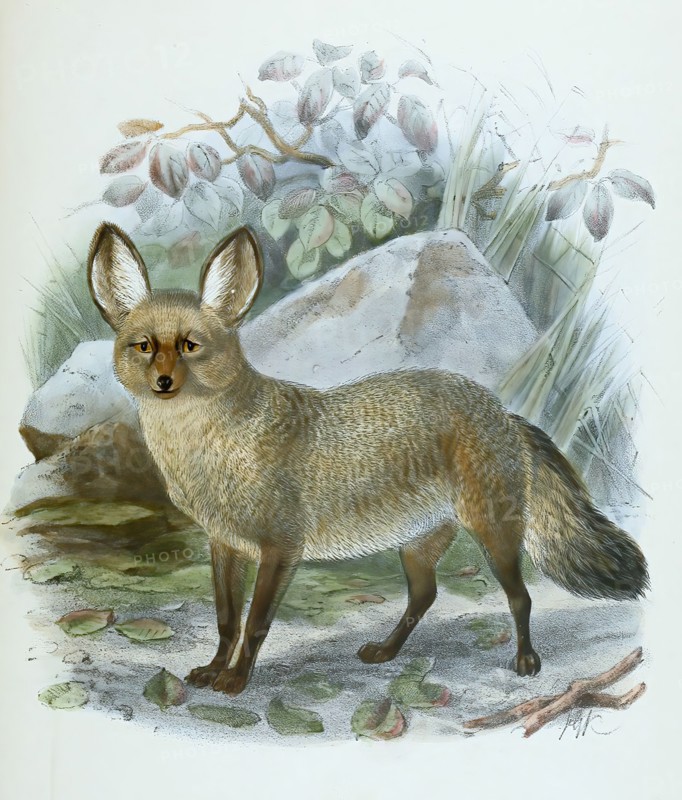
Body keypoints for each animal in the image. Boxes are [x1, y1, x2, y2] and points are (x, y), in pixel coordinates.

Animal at [87, 223, 649, 696]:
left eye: (190, 346)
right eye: (144, 346)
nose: (163, 382)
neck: (208, 450)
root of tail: (503, 411)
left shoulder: (280, 548)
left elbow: (256, 623)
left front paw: (237, 679)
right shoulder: (224, 544)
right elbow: (226, 620)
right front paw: (212, 669)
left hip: (494, 533)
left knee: (520, 596)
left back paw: (527, 660)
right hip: (418, 545)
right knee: (425, 596)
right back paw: (386, 651)